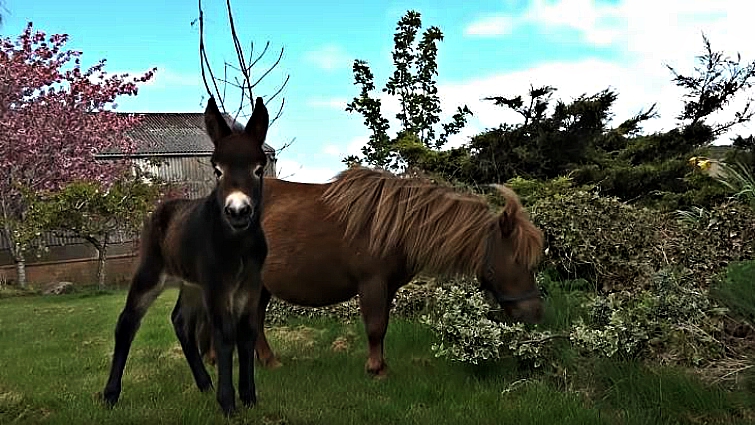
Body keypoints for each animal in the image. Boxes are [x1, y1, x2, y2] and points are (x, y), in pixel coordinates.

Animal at [101, 96, 270, 416]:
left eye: (258, 169)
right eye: (217, 170)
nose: (238, 211)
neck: (238, 245)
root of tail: (163, 208)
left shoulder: (250, 284)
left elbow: (247, 334)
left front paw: (250, 398)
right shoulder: (217, 285)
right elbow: (224, 334)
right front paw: (228, 405)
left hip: (192, 284)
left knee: (180, 321)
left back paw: (204, 383)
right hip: (151, 272)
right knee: (127, 322)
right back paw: (110, 395)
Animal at [194, 166, 545, 377]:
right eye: (518, 260)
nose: (535, 313)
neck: (398, 225)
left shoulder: (387, 287)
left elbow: (383, 326)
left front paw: (381, 365)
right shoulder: (372, 283)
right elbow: (375, 326)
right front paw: (376, 369)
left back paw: (261, 360)